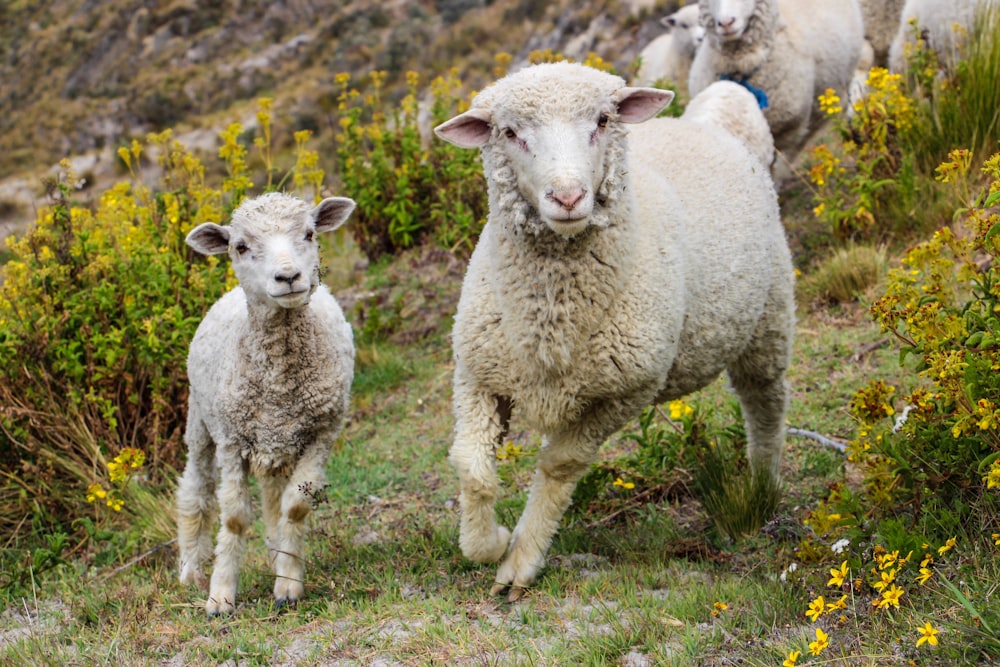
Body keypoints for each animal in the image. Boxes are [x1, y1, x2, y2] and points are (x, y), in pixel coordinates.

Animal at [176, 192, 356, 616]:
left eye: (309, 234)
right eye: (240, 246)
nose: (288, 277)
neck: (278, 382)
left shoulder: (322, 433)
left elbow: (294, 507)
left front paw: (288, 584)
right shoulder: (231, 441)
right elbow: (235, 519)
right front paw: (220, 596)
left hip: (279, 441)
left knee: (274, 498)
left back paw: (277, 553)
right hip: (201, 423)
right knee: (196, 490)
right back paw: (191, 568)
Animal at [434, 62, 792, 604]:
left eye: (602, 121)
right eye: (510, 133)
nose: (567, 197)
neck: (551, 319)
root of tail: (708, 121)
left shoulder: (624, 391)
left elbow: (559, 467)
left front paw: (520, 559)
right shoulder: (479, 374)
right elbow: (470, 468)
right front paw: (488, 541)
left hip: (768, 317)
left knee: (764, 405)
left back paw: (763, 485)